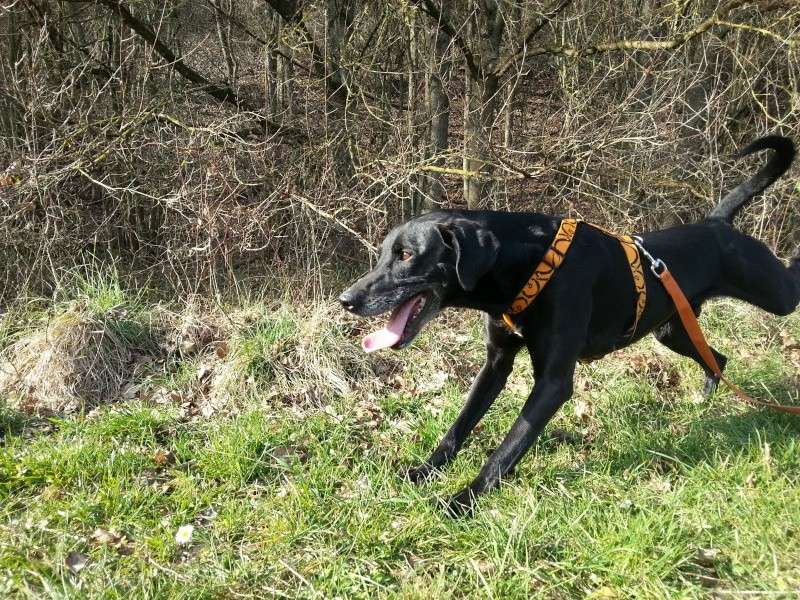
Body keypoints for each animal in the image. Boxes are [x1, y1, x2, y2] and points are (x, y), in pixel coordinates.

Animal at [340, 137, 796, 516]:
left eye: (406, 255)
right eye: (383, 253)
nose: (347, 300)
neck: (525, 267)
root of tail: (717, 224)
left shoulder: (554, 382)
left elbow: (508, 448)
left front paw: (462, 500)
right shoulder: (496, 362)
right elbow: (461, 424)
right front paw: (424, 472)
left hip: (775, 294)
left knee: (788, 283)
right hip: (672, 329)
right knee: (718, 357)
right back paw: (704, 399)